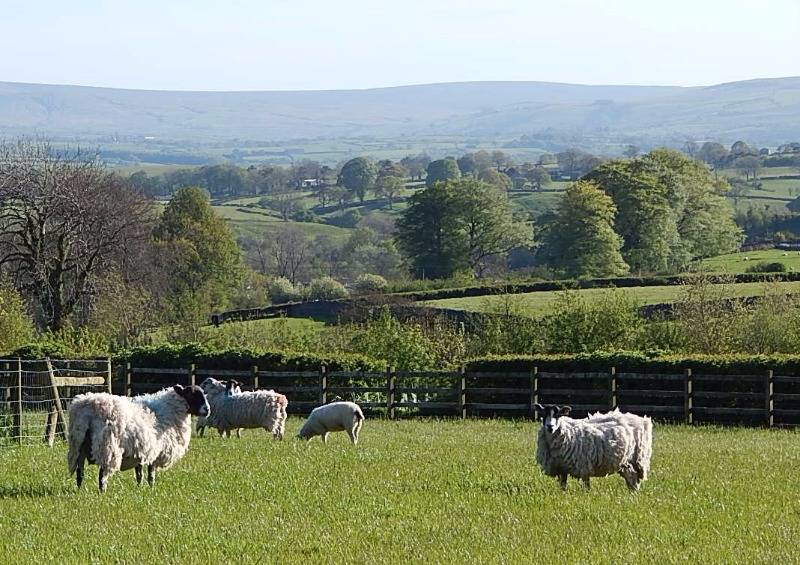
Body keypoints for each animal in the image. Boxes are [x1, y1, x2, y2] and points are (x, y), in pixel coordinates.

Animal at [66, 384, 209, 490]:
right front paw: (151, 489)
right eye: (191, 394)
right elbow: (151, 475)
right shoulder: (155, 452)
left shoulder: (140, 452)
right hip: (107, 447)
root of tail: (88, 407)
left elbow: (139, 474)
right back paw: (102, 492)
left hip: (78, 445)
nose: (207, 409)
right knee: (102, 475)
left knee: (80, 472)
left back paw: (79, 490)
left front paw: (139, 488)